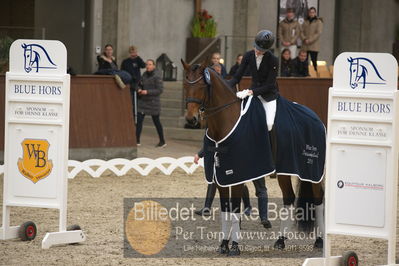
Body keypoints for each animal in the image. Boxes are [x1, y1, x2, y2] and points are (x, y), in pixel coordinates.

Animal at [183, 58, 326, 251]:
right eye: (186, 85)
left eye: (201, 86)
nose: (191, 119)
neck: (226, 122)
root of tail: (316, 117)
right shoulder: (221, 176)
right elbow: (225, 209)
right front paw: (223, 245)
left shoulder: (238, 175)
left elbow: (236, 208)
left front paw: (234, 247)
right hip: (285, 170)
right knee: (289, 198)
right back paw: (280, 241)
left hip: (314, 172)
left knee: (318, 201)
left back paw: (319, 240)